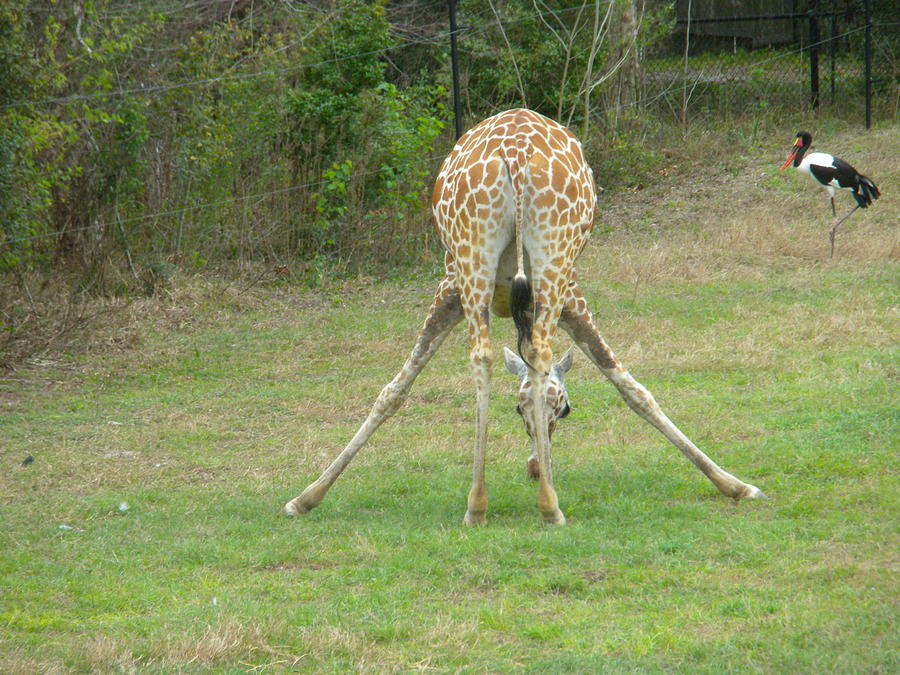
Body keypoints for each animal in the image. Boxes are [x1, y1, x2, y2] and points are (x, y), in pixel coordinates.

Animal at [284, 108, 764, 524]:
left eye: (561, 409)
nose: (534, 467)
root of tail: (514, 152)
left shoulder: (451, 289)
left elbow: (394, 390)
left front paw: (306, 497)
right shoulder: (568, 295)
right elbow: (631, 386)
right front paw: (736, 484)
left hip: (475, 262)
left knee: (485, 356)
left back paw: (480, 505)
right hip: (550, 261)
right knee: (536, 353)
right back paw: (548, 507)